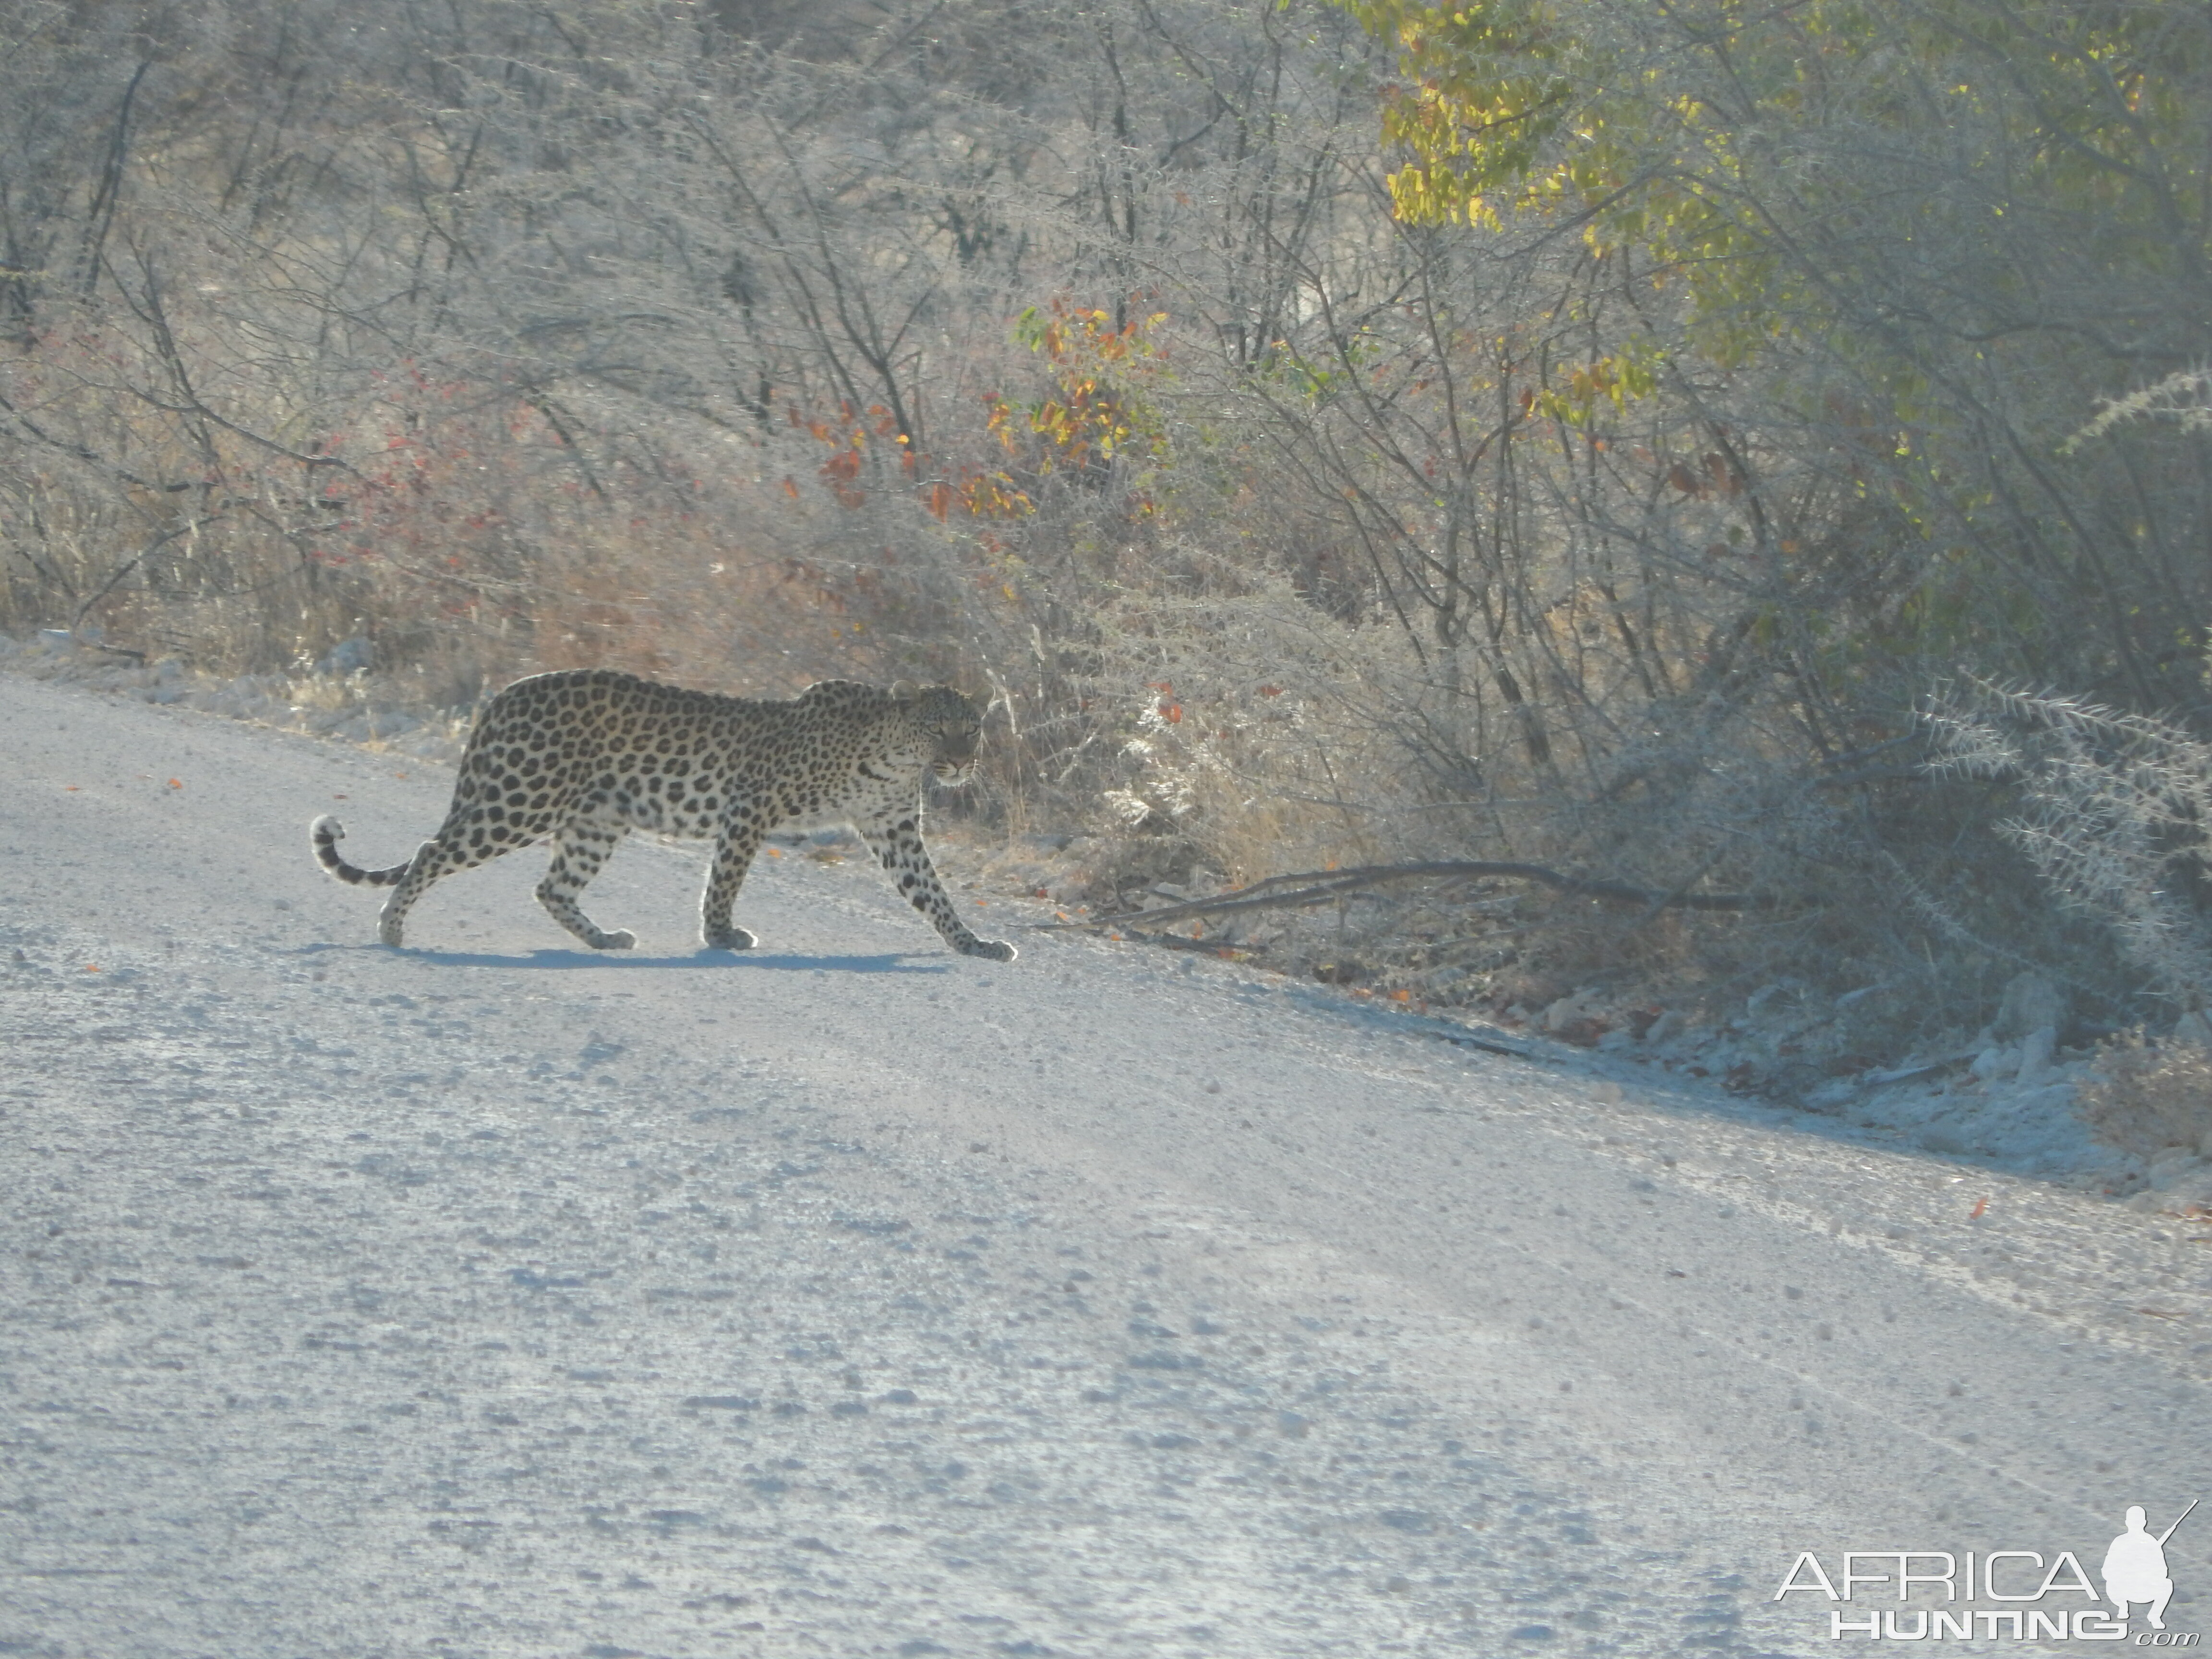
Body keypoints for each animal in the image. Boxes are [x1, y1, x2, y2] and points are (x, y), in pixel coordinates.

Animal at [312, 672, 1017, 969]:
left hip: (597, 819)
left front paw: (974, 944)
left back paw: (604, 940)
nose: (961, 761)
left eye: (972, 727)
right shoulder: (750, 805)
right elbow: (725, 879)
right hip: (520, 800)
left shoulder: (893, 831)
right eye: (939, 726)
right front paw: (721, 935)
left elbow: (934, 895)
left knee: (552, 886)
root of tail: (506, 693)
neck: (896, 759)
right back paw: (392, 928)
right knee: (432, 850)